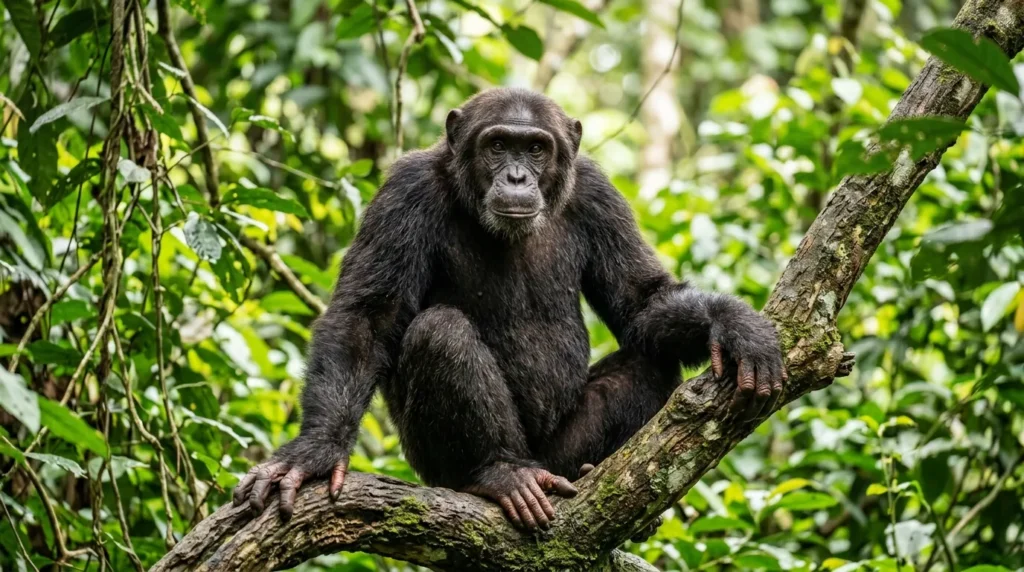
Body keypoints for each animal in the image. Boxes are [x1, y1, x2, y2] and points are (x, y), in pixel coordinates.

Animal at [233, 88, 787, 530]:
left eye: (536, 148)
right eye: (498, 145)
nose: (518, 176)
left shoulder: (599, 193)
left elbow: (640, 300)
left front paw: (735, 324)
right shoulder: (405, 191)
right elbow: (367, 317)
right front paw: (314, 453)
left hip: (557, 455)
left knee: (651, 361)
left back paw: (593, 477)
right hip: (438, 467)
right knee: (440, 332)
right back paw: (498, 474)